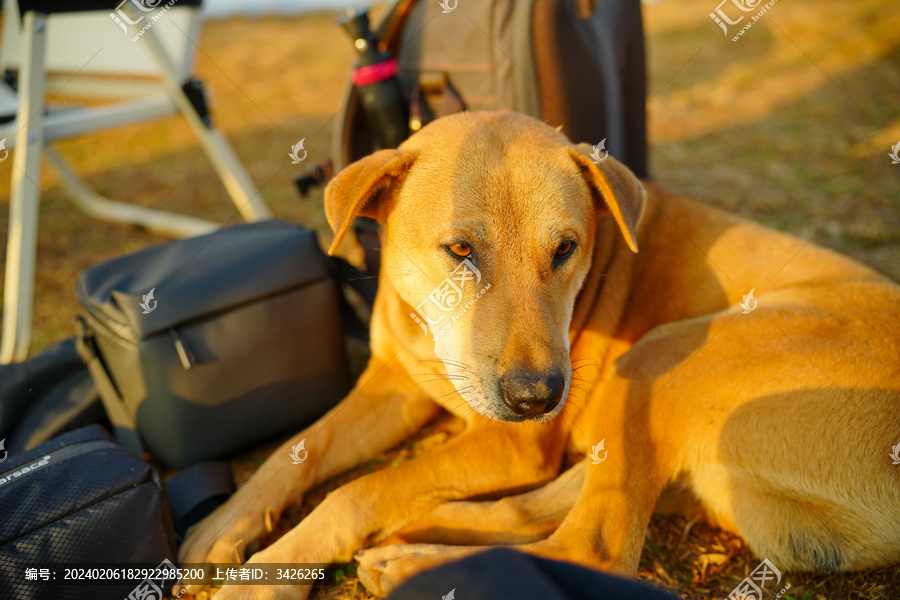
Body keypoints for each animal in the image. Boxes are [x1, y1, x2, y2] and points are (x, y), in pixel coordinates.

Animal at [178, 110, 900, 596]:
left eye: (566, 248)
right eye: (460, 249)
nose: (539, 396)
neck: (427, 333)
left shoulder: (513, 443)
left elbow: (358, 491)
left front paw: (269, 578)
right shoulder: (393, 388)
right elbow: (298, 448)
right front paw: (226, 525)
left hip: (663, 358)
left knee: (595, 547)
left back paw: (416, 562)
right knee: (541, 510)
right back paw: (424, 535)